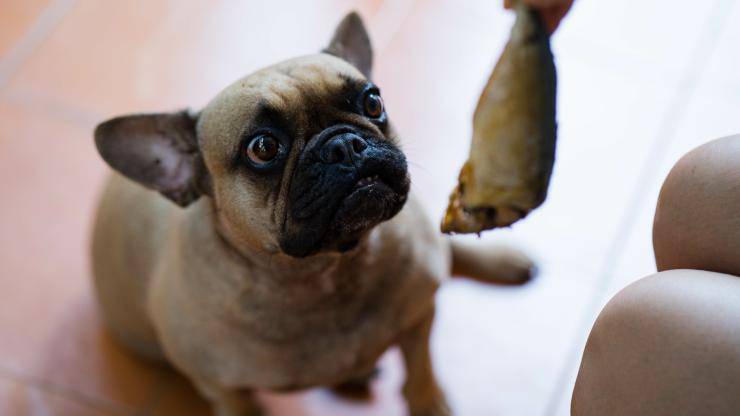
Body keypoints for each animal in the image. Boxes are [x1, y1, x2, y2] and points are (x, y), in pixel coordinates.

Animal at [91, 11, 532, 414]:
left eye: (373, 101)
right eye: (263, 148)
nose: (344, 144)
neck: (327, 271)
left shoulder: (419, 314)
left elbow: (421, 374)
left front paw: (431, 403)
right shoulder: (222, 388)